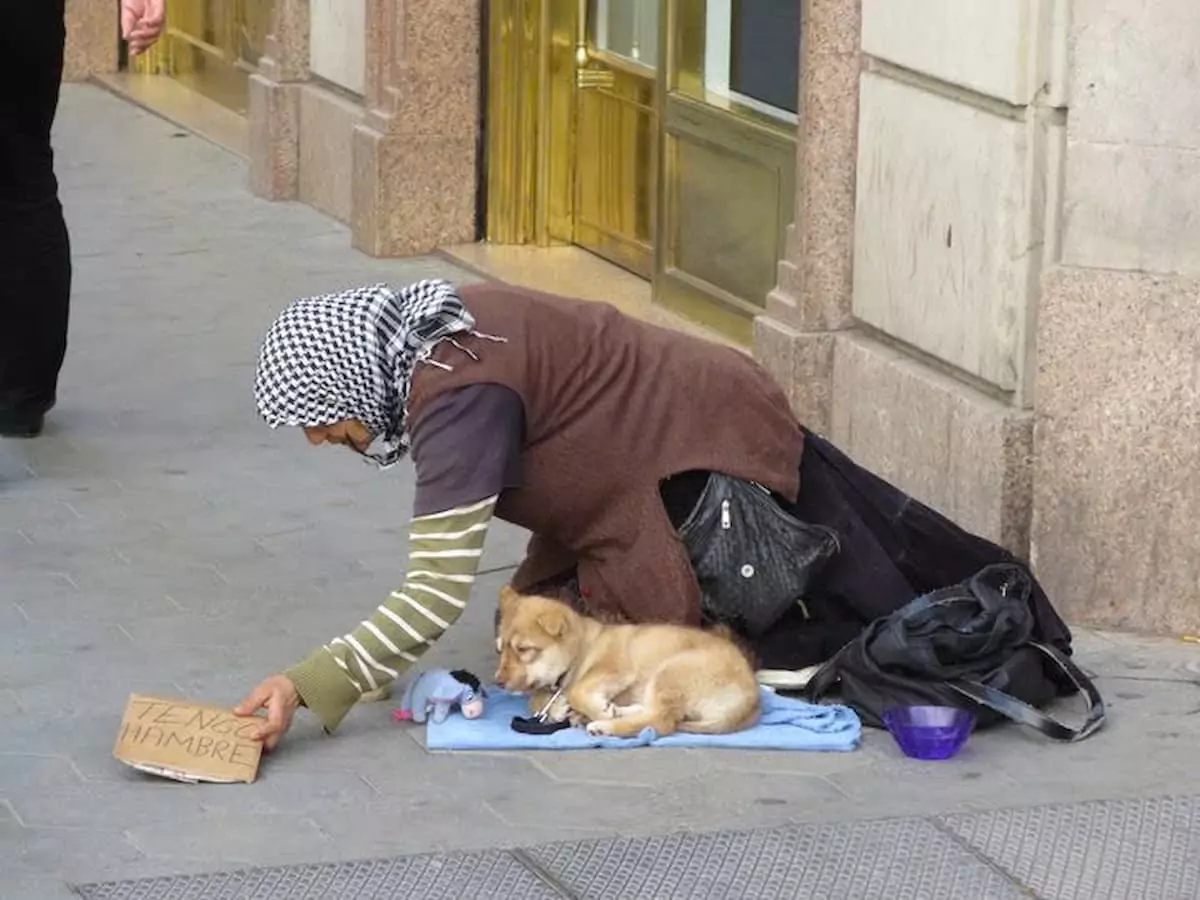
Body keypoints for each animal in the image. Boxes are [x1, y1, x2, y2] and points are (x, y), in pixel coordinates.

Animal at [494, 585, 758, 739]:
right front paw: (558, 707)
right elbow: (537, 699)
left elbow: (579, 690)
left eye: (523, 649)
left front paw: (591, 709)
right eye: (500, 649)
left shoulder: (616, 669)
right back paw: (614, 713)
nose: (498, 682)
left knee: (661, 722)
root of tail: (751, 700)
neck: (583, 650)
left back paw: (605, 725)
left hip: (671, 671)